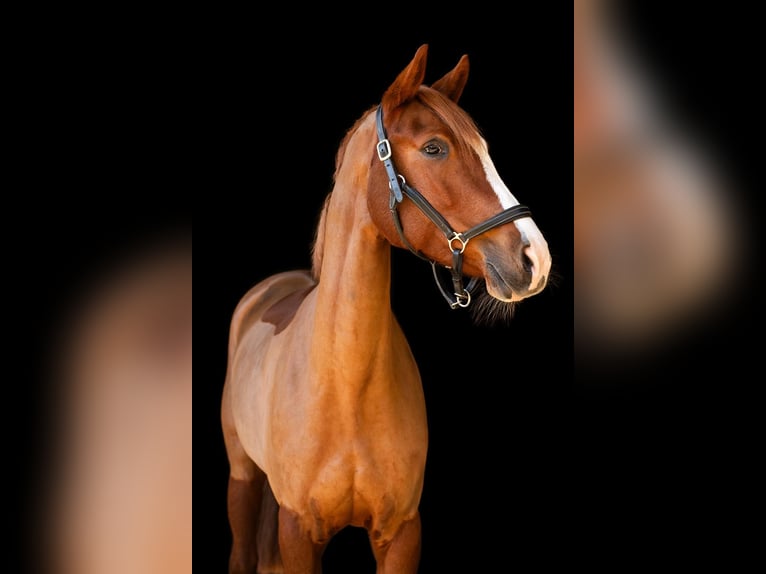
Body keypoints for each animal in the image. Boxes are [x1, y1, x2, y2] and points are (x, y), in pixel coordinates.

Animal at [221, 44, 552, 573]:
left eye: (483, 148)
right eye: (435, 148)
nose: (534, 258)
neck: (346, 386)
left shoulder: (401, 533)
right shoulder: (297, 532)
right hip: (242, 480)